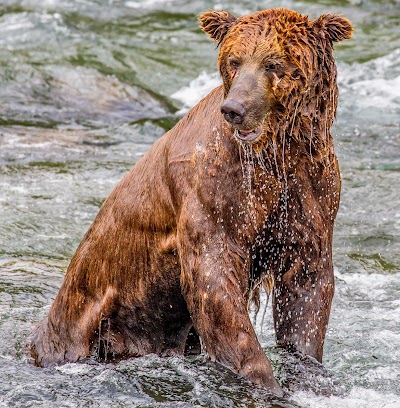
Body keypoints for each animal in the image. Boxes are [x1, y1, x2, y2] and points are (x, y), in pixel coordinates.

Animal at [31, 7, 354, 396]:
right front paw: (265, 383)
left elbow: (306, 290)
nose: (235, 109)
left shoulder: (310, 193)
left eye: (273, 63)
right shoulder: (213, 193)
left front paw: (310, 375)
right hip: (86, 319)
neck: (276, 152)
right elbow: (215, 287)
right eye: (234, 61)